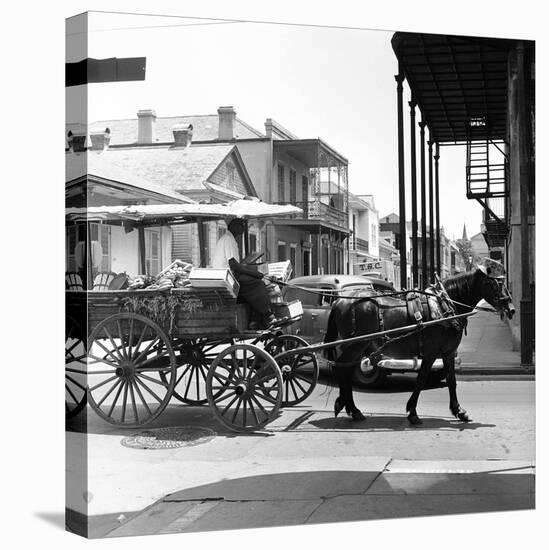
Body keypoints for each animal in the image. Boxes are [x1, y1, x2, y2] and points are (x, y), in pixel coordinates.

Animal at [324, 268, 516, 426]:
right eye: (496, 284)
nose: (512, 309)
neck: (444, 305)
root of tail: (339, 302)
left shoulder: (448, 352)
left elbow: (451, 381)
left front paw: (459, 411)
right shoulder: (431, 353)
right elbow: (421, 379)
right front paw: (413, 412)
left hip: (358, 346)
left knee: (346, 369)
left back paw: (350, 407)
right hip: (356, 344)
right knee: (342, 369)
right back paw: (349, 407)